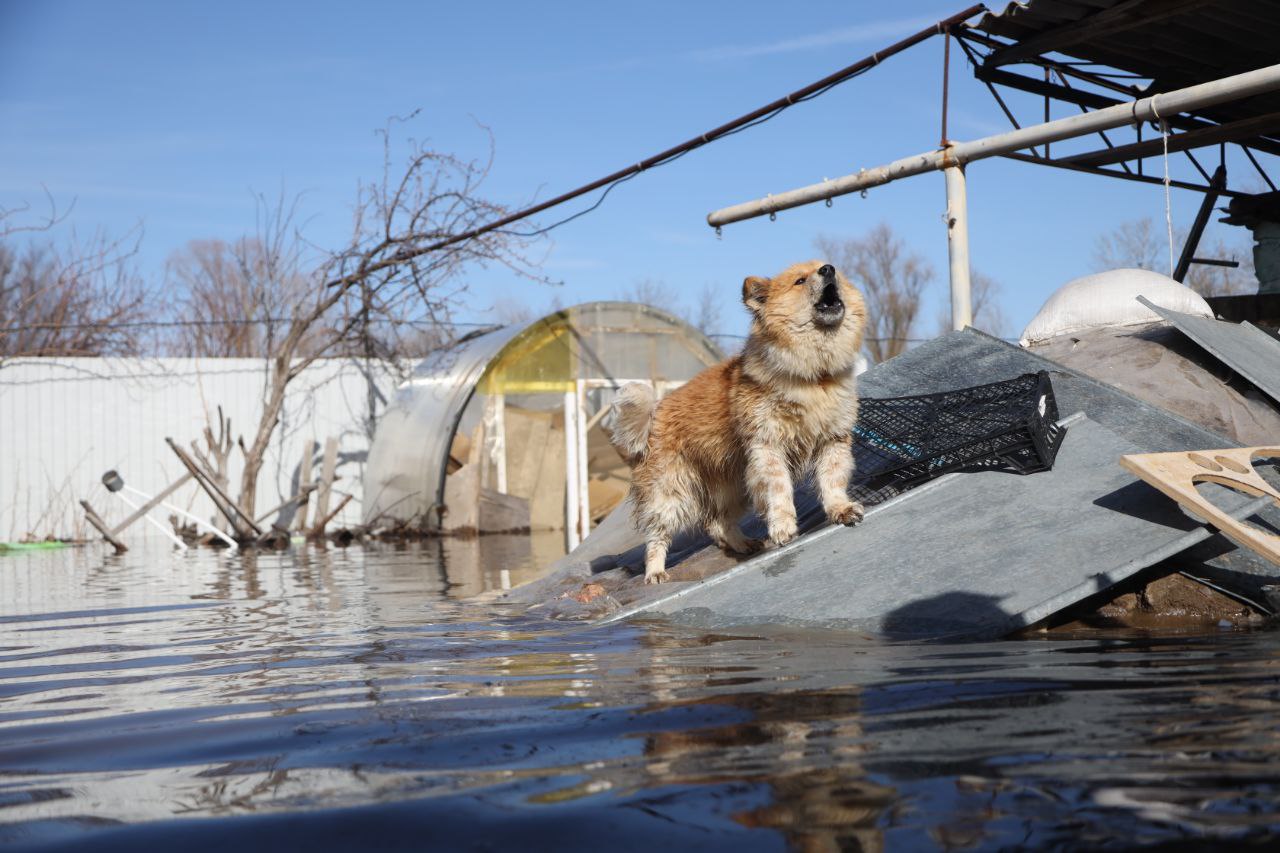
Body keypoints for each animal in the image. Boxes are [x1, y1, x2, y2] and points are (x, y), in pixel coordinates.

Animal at [609, 257, 870, 584]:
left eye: (829, 269)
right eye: (799, 280)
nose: (828, 269)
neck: (815, 375)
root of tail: (652, 418)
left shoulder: (833, 440)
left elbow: (832, 481)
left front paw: (841, 510)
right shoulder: (768, 447)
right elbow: (779, 489)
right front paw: (783, 527)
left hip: (733, 485)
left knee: (717, 523)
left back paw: (743, 544)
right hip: (671, 495)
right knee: (658, 534)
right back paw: (655, 571)